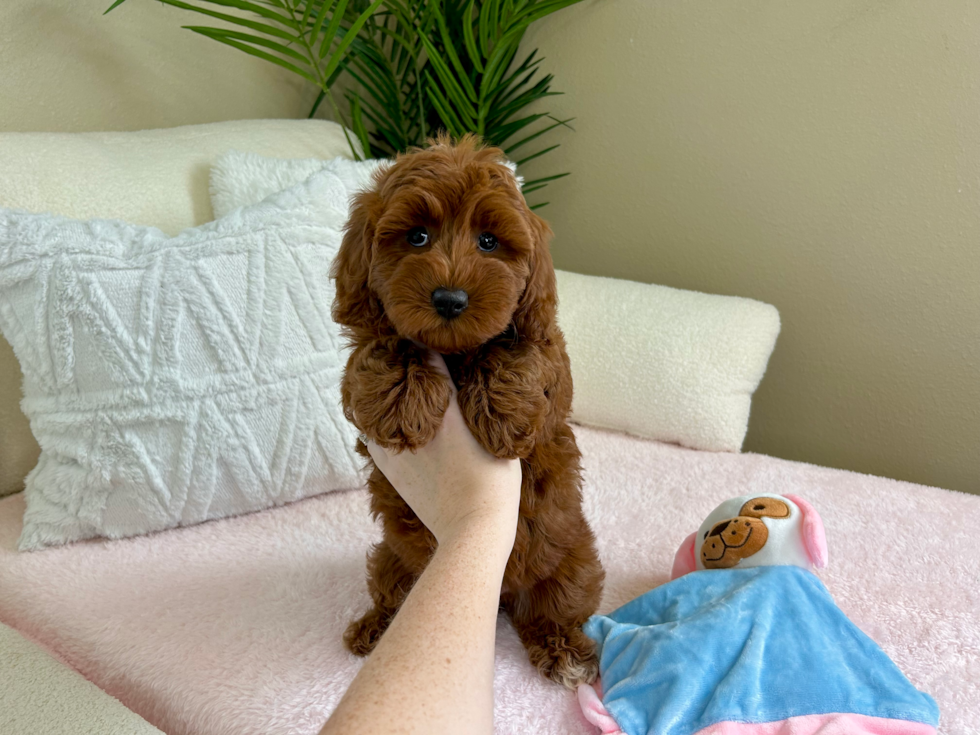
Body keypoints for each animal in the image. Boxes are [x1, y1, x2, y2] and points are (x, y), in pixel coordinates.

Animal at [334, 134, 600, 688]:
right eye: (417, 236)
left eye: (489, 242)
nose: (450, 299)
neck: (454, 352)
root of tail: (500, 597)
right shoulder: (362, 360)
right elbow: (383, 347)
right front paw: (400, 404)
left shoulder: (546, 353)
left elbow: (519, 351)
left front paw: (504, 415)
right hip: (393, 558)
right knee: (393, 593)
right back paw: (376, 628)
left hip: (571, 565)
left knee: (554, 608)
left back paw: (564, 651)